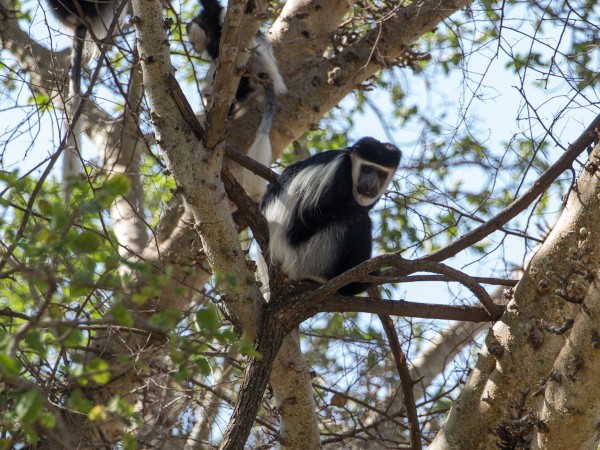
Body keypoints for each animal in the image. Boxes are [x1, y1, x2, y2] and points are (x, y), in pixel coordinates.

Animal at [186, 0, 288, 201]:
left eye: (193, 41)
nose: (193, 47)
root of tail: (266, 75)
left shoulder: (212, 18)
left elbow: (212, 6)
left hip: (252, 63)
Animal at [260, 139, 400, 298]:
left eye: (381, 174)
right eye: (366, 169)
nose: (370, 185)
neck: (351, 164)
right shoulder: (338, 172)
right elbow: (308, 217)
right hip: (311, 256)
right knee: (357, 218)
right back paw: (353, 285)